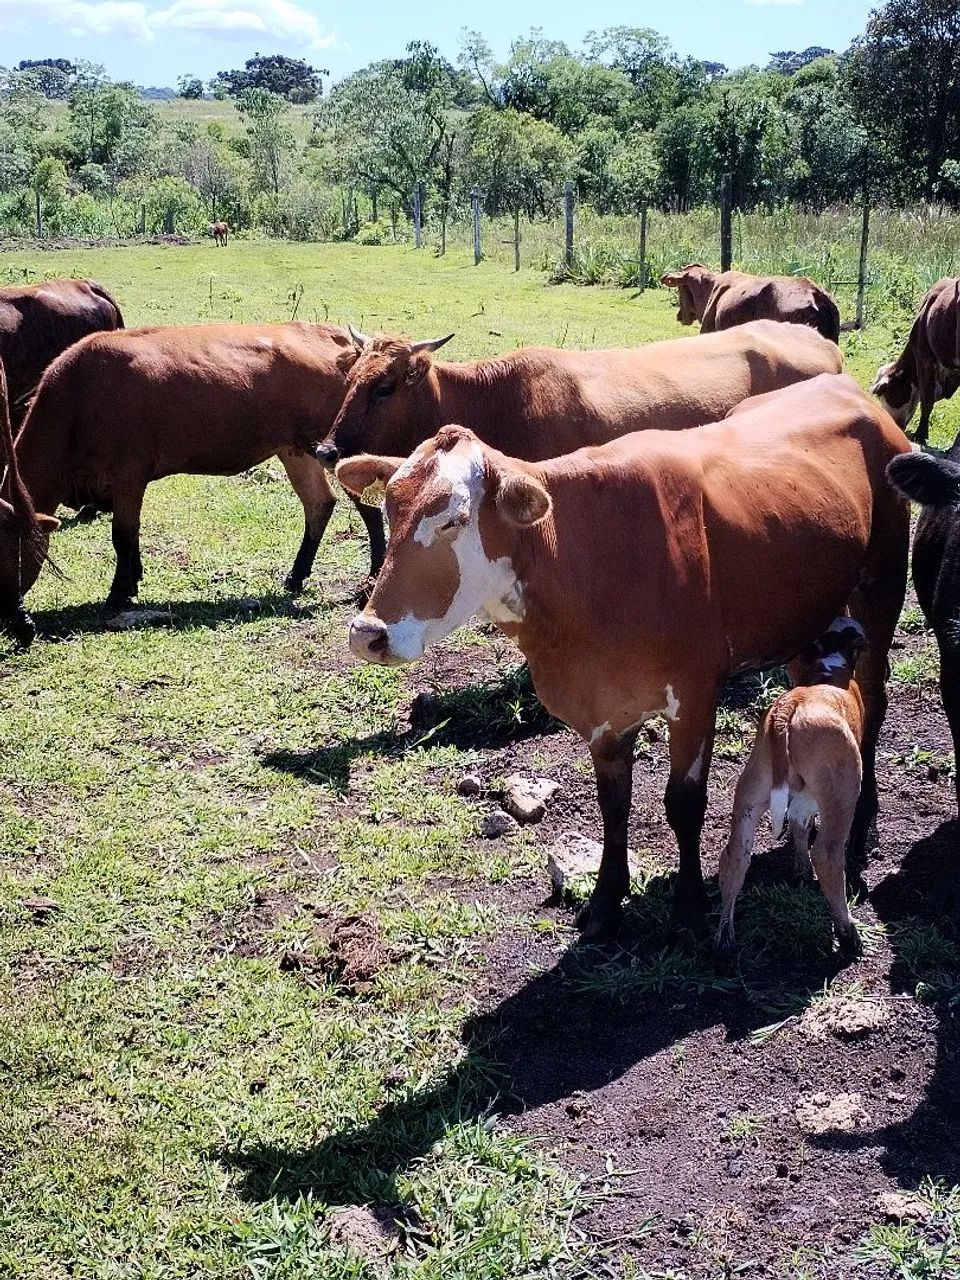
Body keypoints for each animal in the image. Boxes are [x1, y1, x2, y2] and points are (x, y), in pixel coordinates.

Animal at [0, 322, 383, 625]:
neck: (78, 399)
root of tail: (334, 336)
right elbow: (131, 536)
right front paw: (133, 580)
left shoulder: (128, 475)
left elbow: (122, 536)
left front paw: (117, 594)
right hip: (295, 449)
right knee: (319, 504)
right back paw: (296, 576)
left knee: (367, 507)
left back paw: (373, 575)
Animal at [717, 617, 868, 959]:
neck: (830, 662)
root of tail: (788, 709)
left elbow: (799, 823)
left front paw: (799, 869)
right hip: (843, 789)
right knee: (827, 855)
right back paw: (848, 932)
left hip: (752, 789)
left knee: (736, 856)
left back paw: (725, 941)